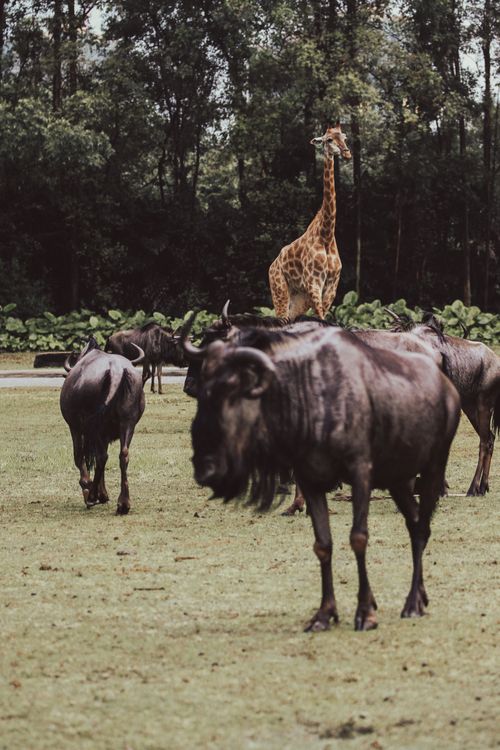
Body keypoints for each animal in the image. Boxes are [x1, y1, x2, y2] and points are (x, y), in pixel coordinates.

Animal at [268, 123, 351, 320]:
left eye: (344, 137)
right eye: (329, 139)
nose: (347, 153)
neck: (326, 234)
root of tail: (272, 265)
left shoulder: (331, 286)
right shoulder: (314, 283)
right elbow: (320, 318)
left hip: (299, 298)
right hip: (279, 290)